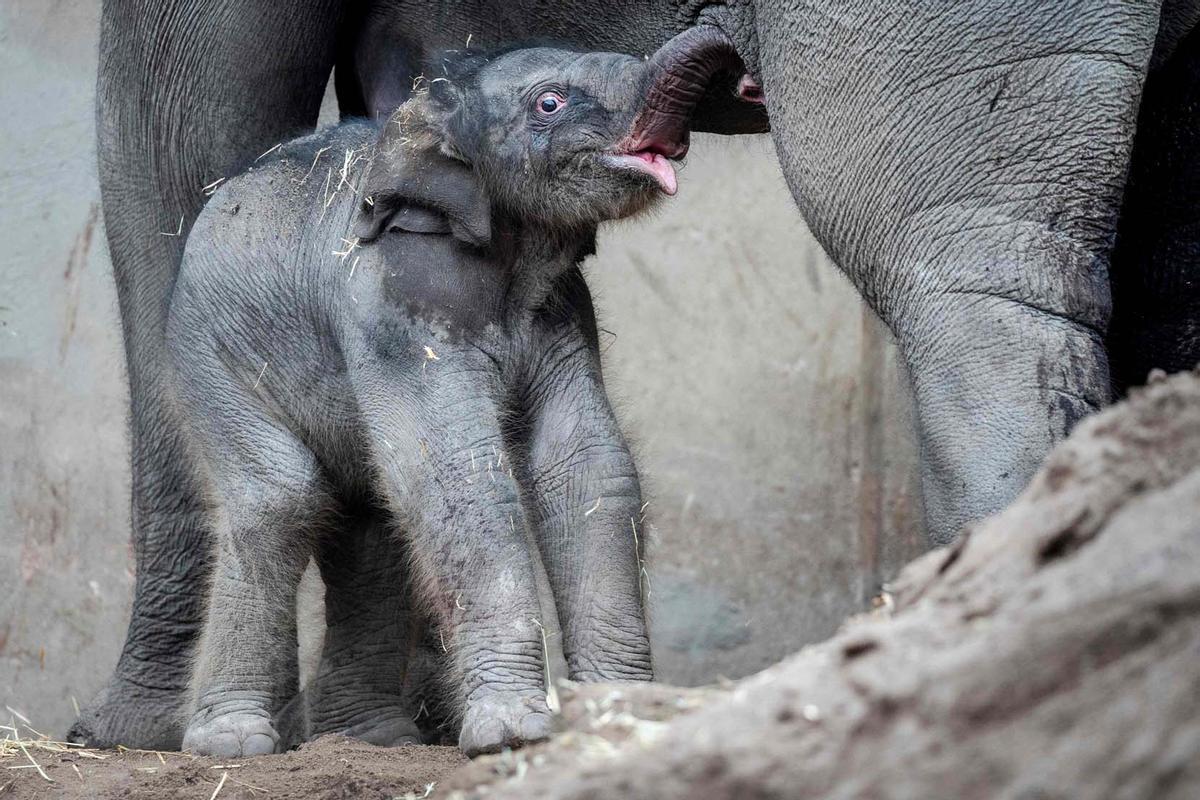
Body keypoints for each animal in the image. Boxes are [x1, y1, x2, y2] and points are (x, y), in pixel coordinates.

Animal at [169, 47, 686, 762]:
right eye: (549, 102)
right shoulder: (400, 300)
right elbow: (457, 482)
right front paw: (511, 734)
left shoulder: (563, 309)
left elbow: (584, 470)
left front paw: (624, 715)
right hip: (210, 357)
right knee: (280, 499)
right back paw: (232, 743)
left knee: (372, 518)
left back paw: (371, 741)